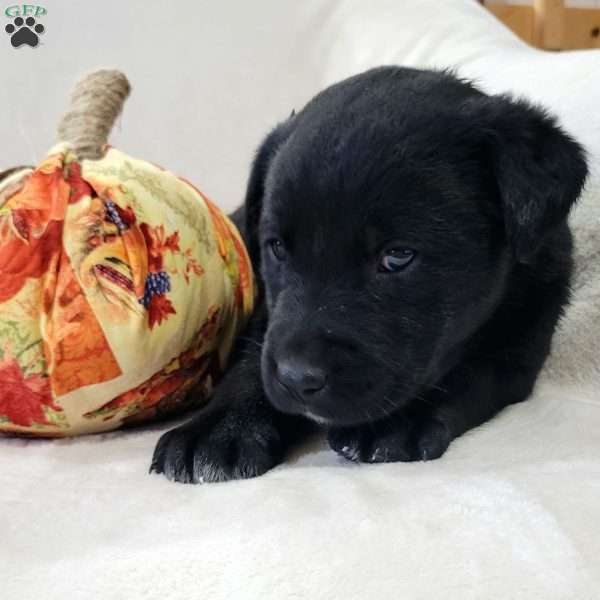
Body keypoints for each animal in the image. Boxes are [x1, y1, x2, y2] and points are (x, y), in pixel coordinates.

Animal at [150, 65, 584, 482]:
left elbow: (467, 374)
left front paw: (397, 422)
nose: (297, 378)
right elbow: (252, 358)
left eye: (397, 256)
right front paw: (220, 428)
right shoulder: (267, 316)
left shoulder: (521, 347)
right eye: (277, 248)